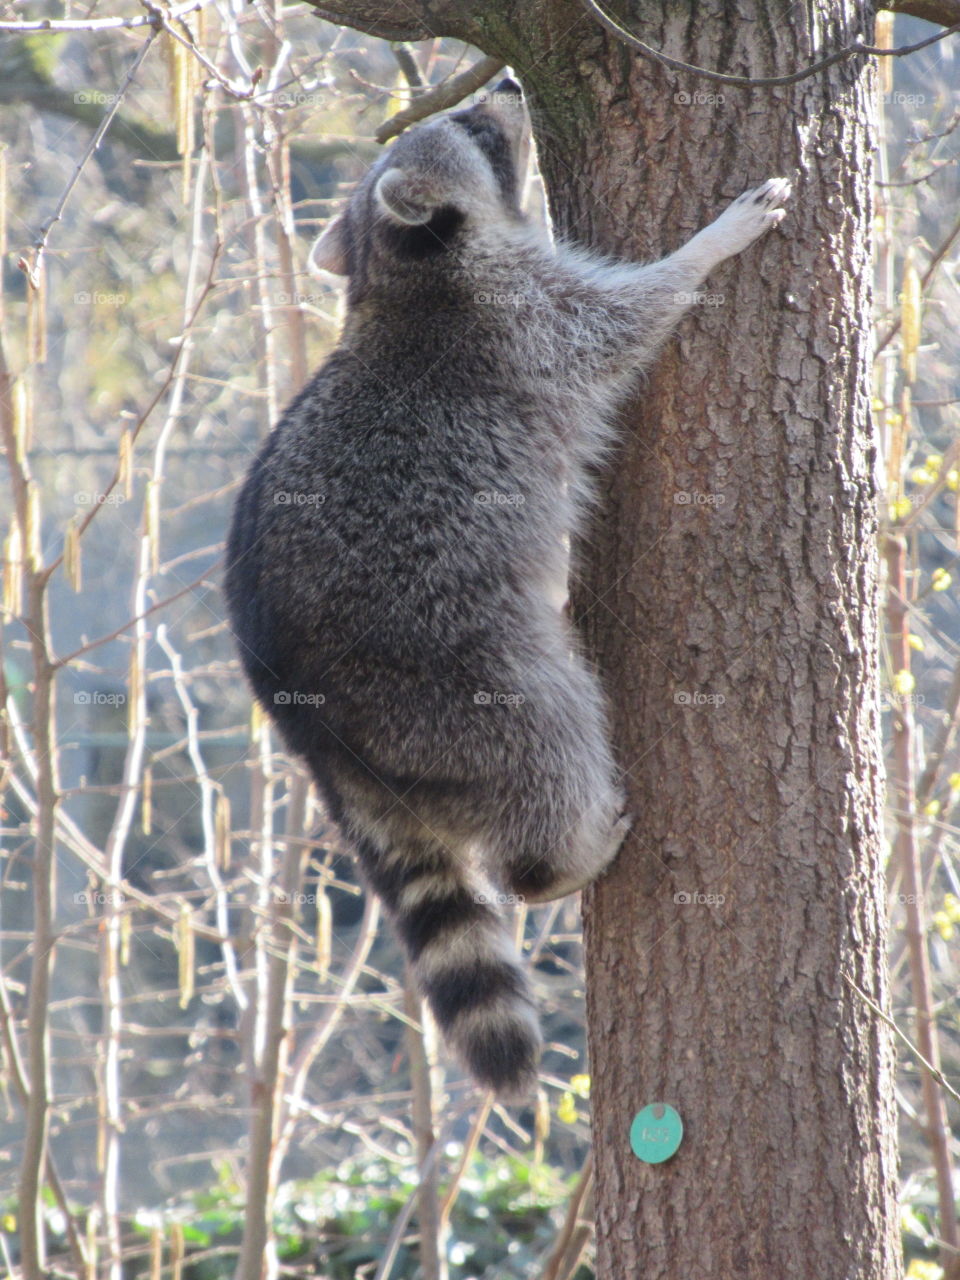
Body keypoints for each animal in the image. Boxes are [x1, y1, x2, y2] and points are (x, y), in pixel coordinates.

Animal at [224, 77, 788, 1100]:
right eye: (478, 132)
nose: (508, 86)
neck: (396, 268)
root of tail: (303, 724)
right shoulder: (527, 325)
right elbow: (629, 317)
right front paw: (708, 244)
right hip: (454, 681)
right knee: (552, 733)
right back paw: (555, 861)